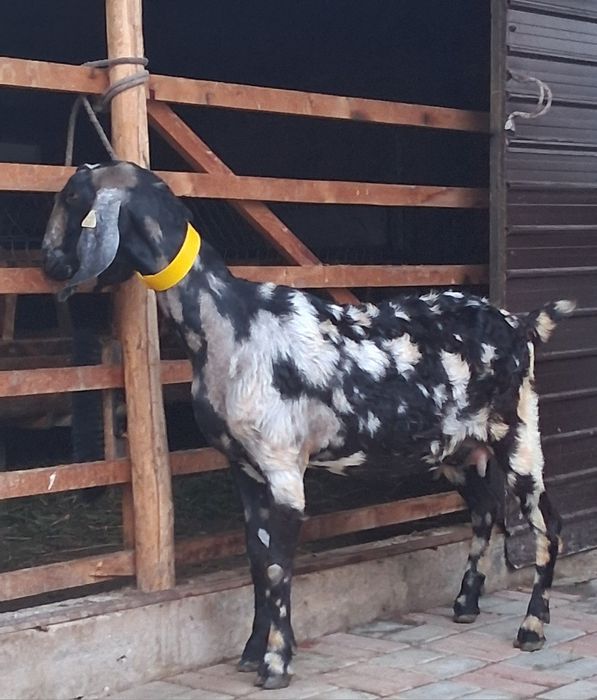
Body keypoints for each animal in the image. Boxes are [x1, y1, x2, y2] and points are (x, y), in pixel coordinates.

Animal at [42, 162, 574, 690]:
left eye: (72, 198)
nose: (48, 261)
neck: (229, 321)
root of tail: (521, 324)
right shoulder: (245, 469)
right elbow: (258, 562)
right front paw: (253, 651)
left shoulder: (282, 467)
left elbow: (279, 567)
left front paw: (276, 663)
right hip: (461, 450)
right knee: (485, 511)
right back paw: (466, 604)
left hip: (519, 434)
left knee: (547, 522)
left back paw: (532, 627)